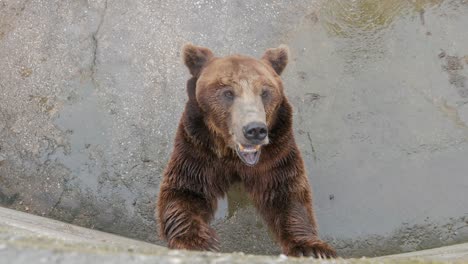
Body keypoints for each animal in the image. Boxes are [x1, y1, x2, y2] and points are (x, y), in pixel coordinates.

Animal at [157, 43, 336, 258]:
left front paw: (314, 249)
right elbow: (185, 190)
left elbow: (288, 194)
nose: (255, 130)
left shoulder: (276, 153)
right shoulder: (198, 148)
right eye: (228, 92)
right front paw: (199, 241)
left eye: (265, 92)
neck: (234, 157)